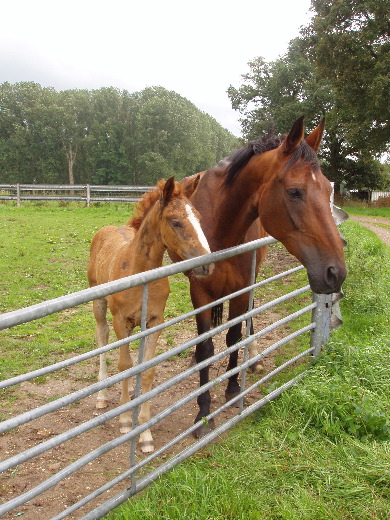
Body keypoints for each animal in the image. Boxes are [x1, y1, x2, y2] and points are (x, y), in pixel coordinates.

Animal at [87, 177, 213, 452]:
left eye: (199, 217)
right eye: (175, 221)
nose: (207, 265)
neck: (139, 270)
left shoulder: (155, 321)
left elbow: (147, 370)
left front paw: (145, 434)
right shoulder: (121, 321)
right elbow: (124, 365)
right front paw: (125, 421)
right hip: (99, 304)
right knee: (102, 339)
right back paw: (101, 396)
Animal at [177, 116, 348, 436]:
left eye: (327, 189)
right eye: (294, 191)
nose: (336, 272)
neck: (220, 225)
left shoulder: (242, 288)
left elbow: (233, 337)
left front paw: (233, 390)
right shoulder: (200, 292)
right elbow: (206, 347)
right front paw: (203, 413)